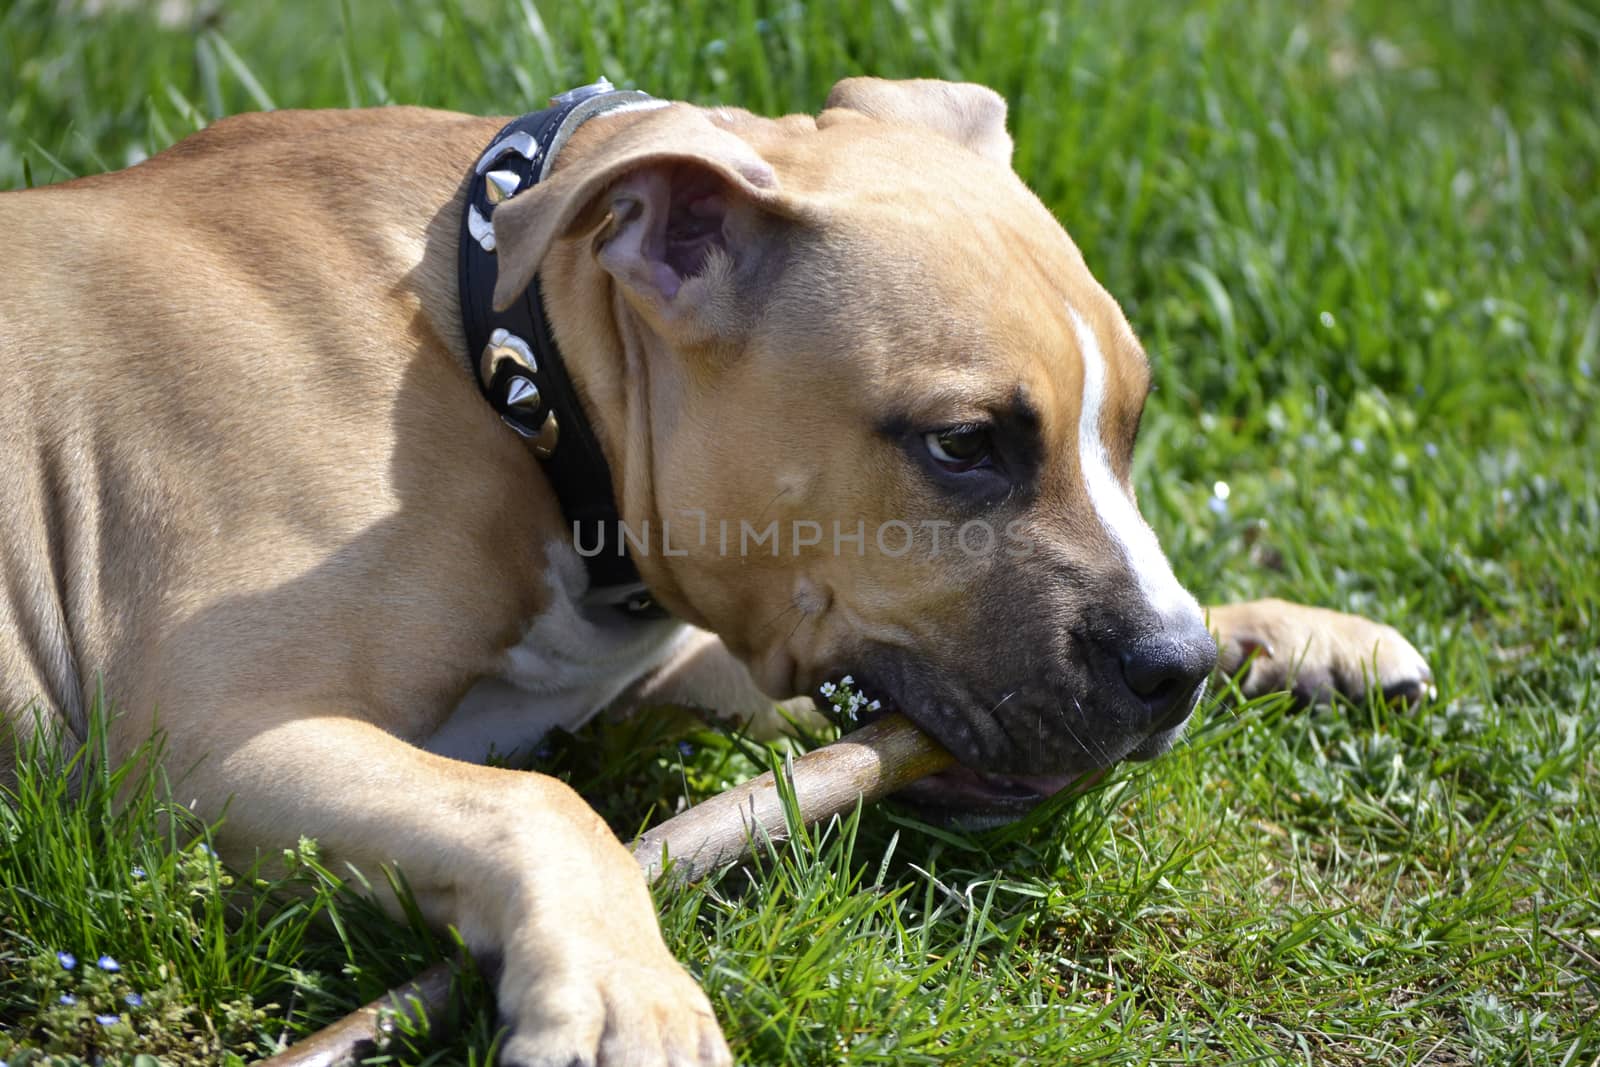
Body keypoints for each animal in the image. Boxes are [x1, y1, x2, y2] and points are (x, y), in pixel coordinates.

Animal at [0, 79, 1427, 1062]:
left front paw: (1288, 630)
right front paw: (630, 995)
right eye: (962, 445)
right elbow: (541, 807)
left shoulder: (663, 658)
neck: (515, 374)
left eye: (1129, 423)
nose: (1174, 667)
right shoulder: (207, 740)